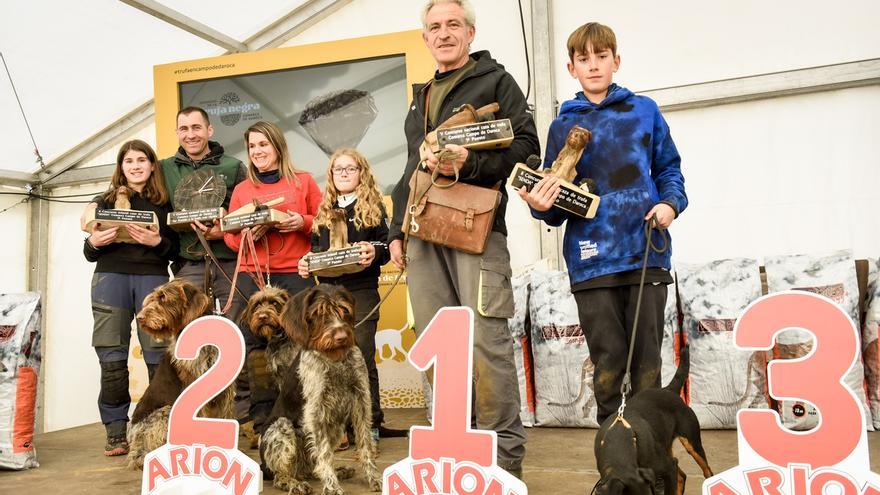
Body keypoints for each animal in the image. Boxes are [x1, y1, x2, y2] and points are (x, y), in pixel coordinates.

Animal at [260, 282, 380, 495]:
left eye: (344, 310)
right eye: (319, 313)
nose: (342, 336)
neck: (335, 358)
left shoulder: (361, 400)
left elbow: (365, 442)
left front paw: (372, 477)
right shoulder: (316, 411)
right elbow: (324, 454)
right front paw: (332, 487)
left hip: (336, 427)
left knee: (313, 467)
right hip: (281, 427)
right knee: (280, 475)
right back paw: (293, 483)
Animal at [596, 346, 712, 495]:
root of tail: (669, 390)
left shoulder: (669, 468)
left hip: (692, 442)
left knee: (707, 471)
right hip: (666, 446)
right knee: (682, 476)